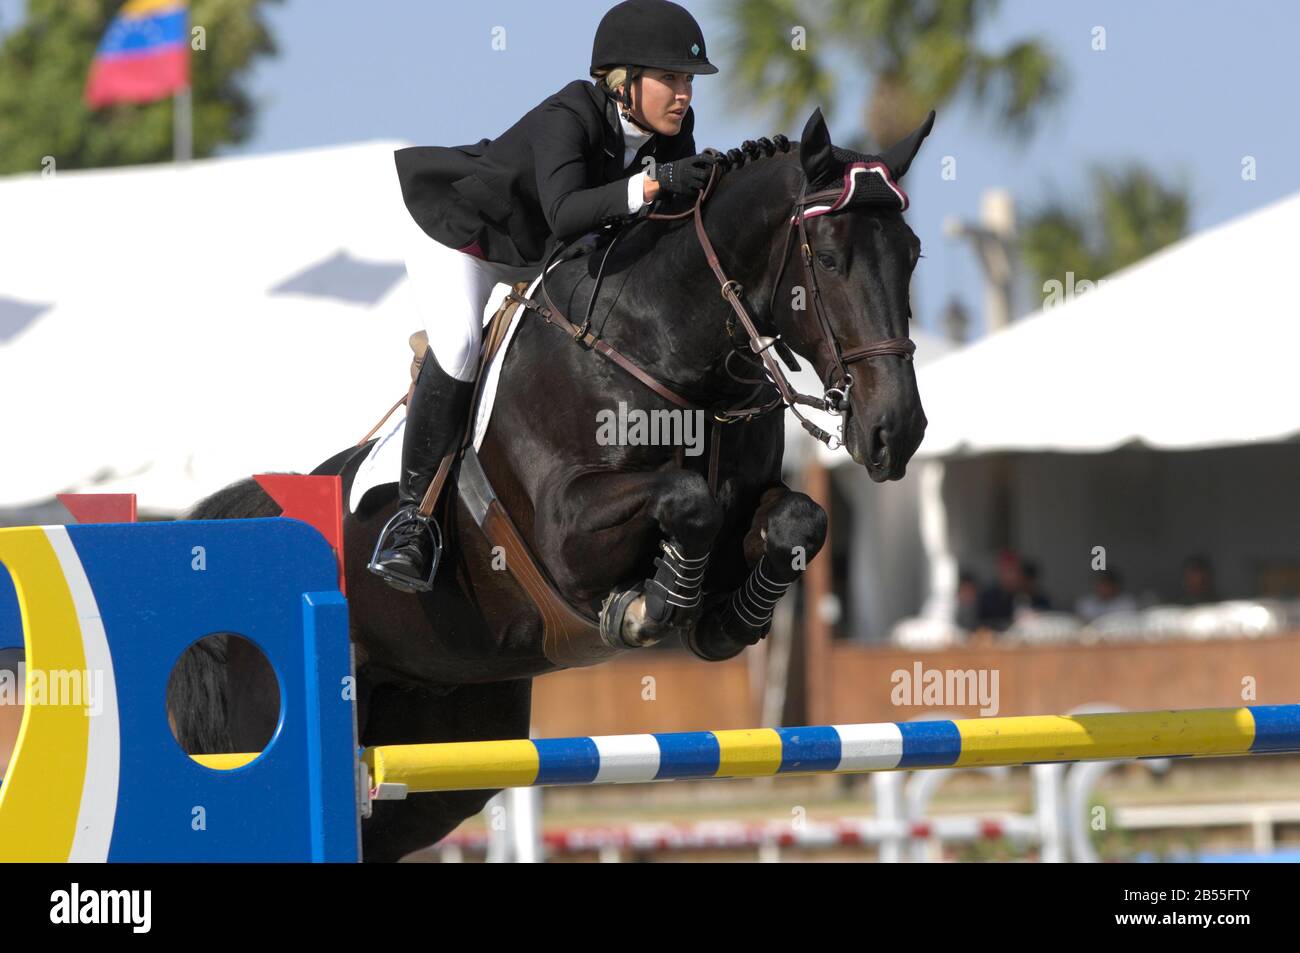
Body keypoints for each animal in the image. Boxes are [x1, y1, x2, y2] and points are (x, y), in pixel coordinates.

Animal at [172, 107, 935, 858]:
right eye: (829, 260)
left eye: (913, 255)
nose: (896, 431)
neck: (668, 350)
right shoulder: (567, 531)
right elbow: (686, 502)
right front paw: (651, 606)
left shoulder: (750, 502)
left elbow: (796, 518)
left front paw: (726, 620)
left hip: (448, 735)